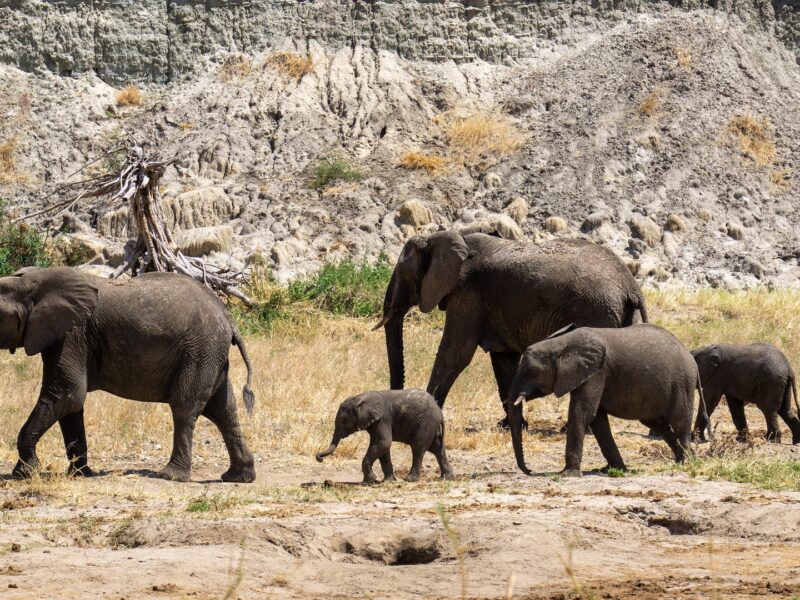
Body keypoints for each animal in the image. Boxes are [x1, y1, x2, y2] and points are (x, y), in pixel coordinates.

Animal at [0, 267, 256, 483]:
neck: (32, 281)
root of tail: (227, 315)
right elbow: (71, 404)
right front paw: (80, 474)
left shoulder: (72, 335)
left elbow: (67, 394)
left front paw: (24, 473)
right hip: (211, 354)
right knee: (224, 410)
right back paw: (238, 477)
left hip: (200, 350)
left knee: (185, 407)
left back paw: (171, 476)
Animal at [315, 389, 453, 483]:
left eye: (343, 420)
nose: (320, 459)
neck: (360, 398)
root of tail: (439, 410)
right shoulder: (375, 421)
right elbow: (382, 447)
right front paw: (387, 481)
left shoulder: (382, 418)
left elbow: (384, 443)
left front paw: (370, 480)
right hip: (431, 424)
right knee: (437, 448)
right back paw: (446, 478)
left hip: (427, 422)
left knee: (418, 446)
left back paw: (409, 479)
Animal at [376, 230, 648, 428]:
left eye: (402, 271)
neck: (443, 236)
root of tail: (632, 287)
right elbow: (503, 361)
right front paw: (508, 426)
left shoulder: (468, 295)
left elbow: (454, 354)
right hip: (621, 315)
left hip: (597, 311)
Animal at [506, 324, 709, 476]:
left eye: (532, 372)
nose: (530, 471)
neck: (560, 344)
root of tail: (690, 357)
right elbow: (597, 419)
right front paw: (612, 469)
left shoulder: (596, 373)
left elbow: (582, 414)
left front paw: (567, 474)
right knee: (659, 425)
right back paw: (686, 460)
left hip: (681, 383)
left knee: (679, 422)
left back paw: (685, 463)